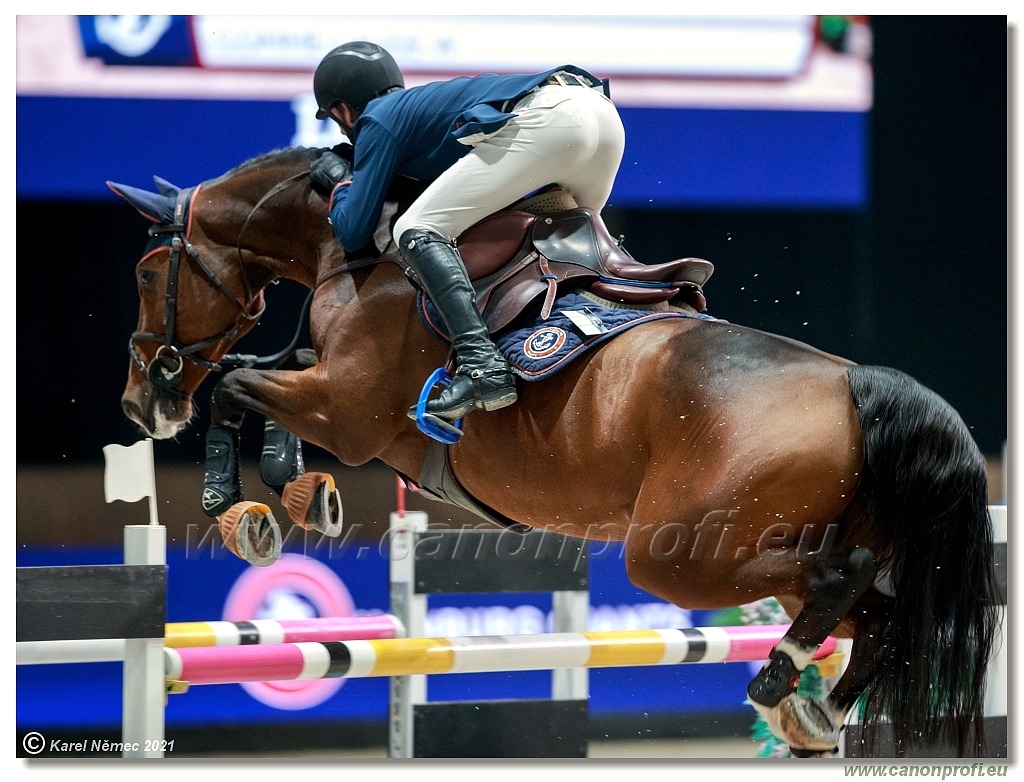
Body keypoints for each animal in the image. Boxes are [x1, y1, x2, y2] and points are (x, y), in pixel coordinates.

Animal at [112, 145, 999, 757]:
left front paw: (246, 509)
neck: (361, 249)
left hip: (680, 553)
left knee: (843, 576)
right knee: (877, 613)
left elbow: (234, 384)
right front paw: (300, 495)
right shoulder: (329, 394)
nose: (139, 403)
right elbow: (253, 375)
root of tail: (858, 383)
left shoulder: (350, 413)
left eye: (149, 272)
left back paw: (780, 678)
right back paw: (816, 708)